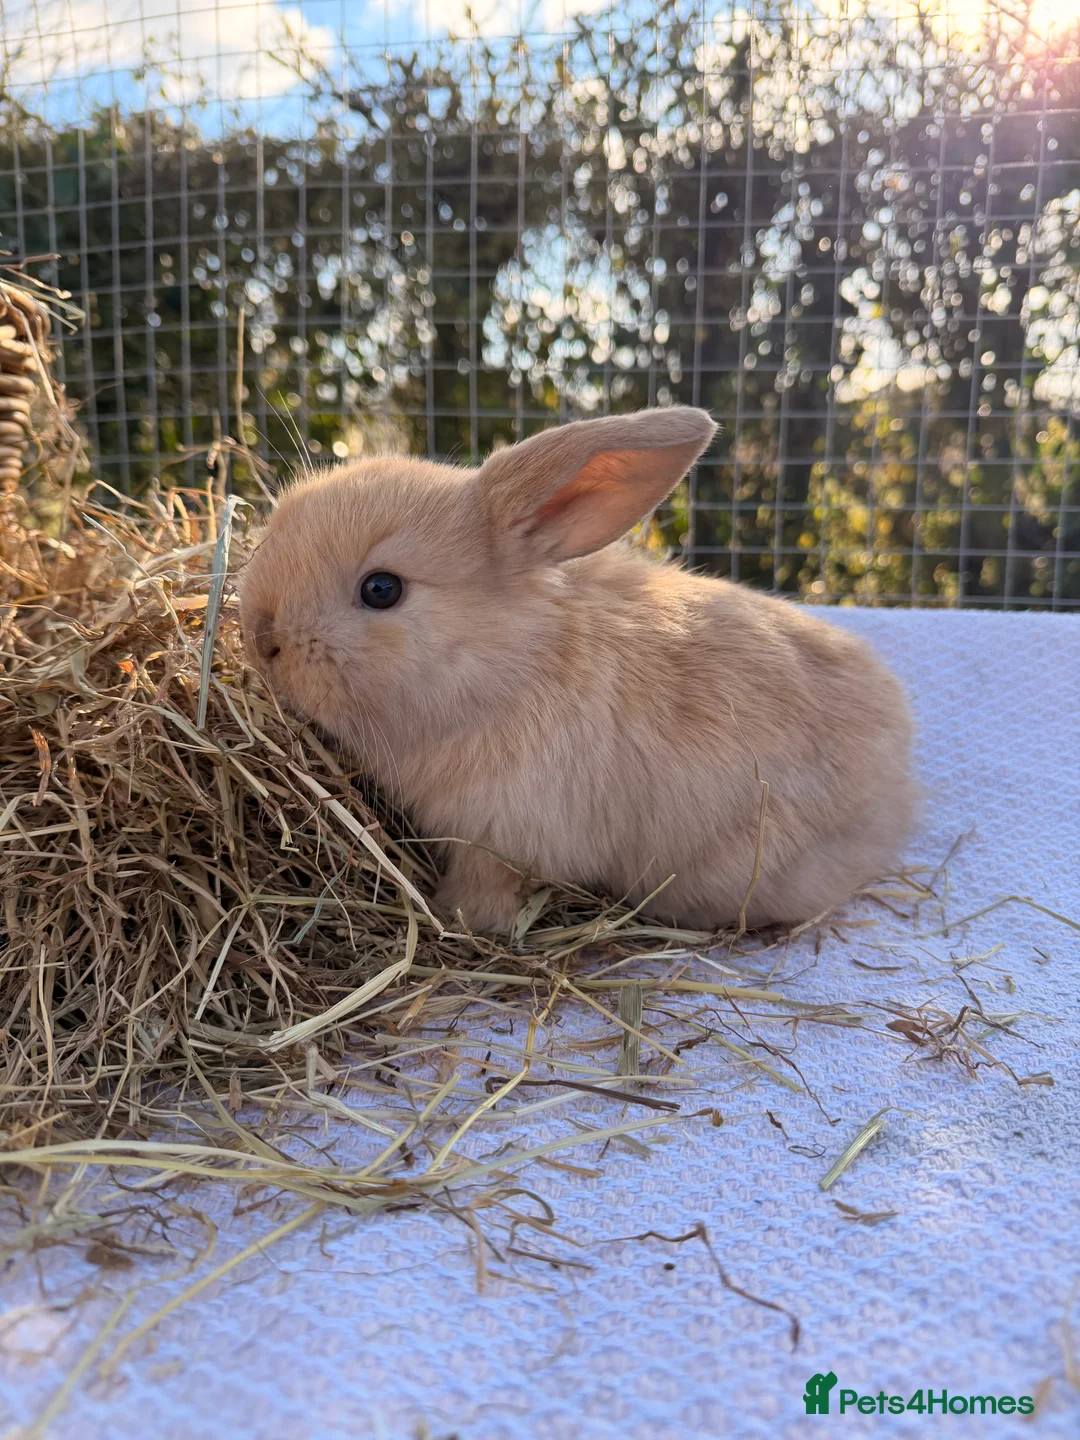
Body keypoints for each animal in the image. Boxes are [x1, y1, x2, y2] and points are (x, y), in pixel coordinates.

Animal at [239, 407, 916, 934]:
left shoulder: (502, 838)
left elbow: (487, 890)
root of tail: (897, 787)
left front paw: (455, 915)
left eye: (381, 589)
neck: (509, 662)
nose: (261, 637)